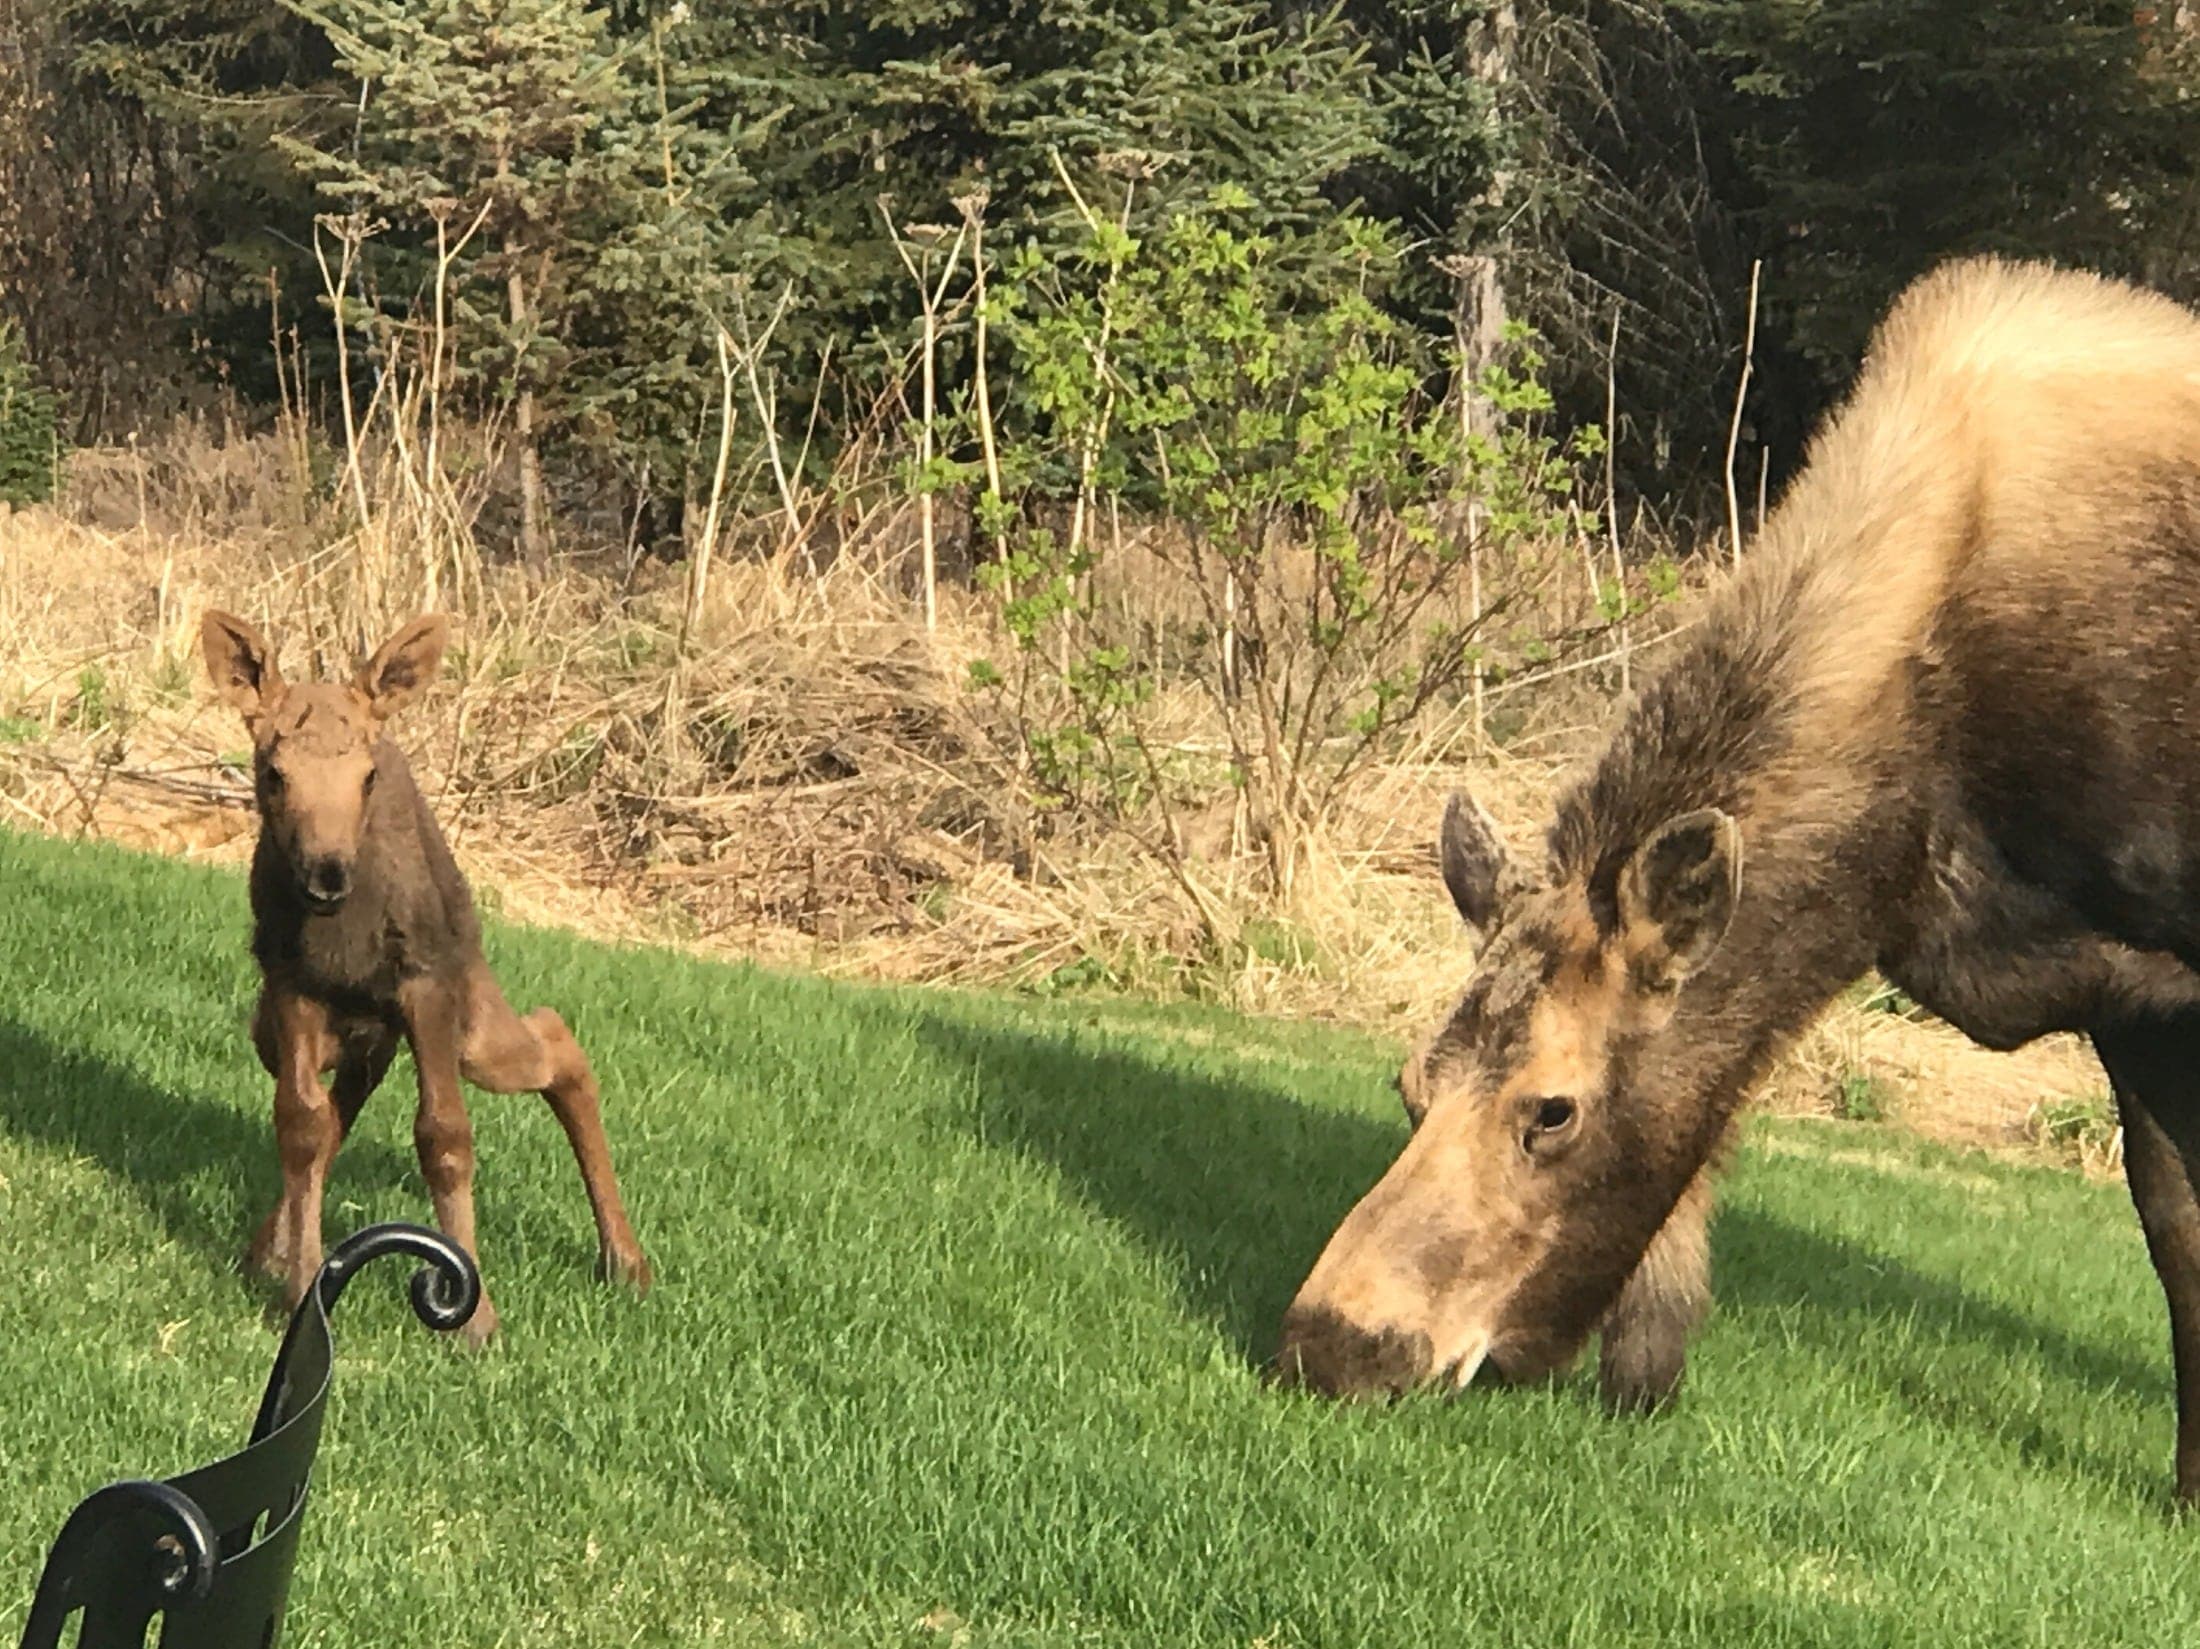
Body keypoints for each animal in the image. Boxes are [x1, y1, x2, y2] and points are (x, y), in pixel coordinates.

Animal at [201, 606, 646, 1345]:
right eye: (273, 772)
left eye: (367, 776)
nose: (327, 873)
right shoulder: (292, 985)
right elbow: (301, 1124)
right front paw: (300, 1284)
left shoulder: (427, 983)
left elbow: (444, 1135)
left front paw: (477, 1318)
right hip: (307, 1029)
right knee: (340, 1109)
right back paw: (270, 1247)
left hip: (472, 1023)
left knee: (558, 1039)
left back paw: (625, 1256)